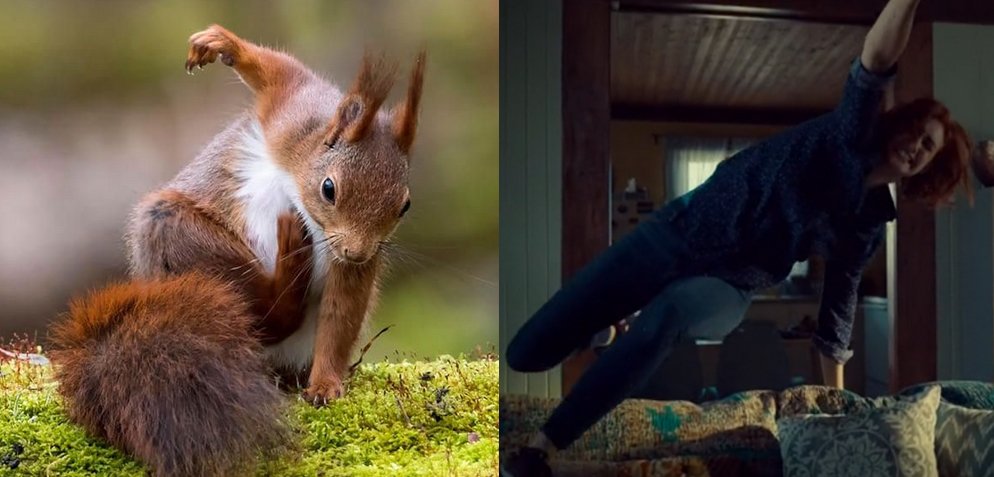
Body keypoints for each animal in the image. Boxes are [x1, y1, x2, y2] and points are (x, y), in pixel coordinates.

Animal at [48, 24, 425, 477]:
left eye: (405, 205)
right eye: (329, 188)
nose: (357, 252)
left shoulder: (349, 261)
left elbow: (341, 314)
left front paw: (325, 384)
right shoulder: (292, 112)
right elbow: (278, 71)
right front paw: (221, 44)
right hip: (175, 232)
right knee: (266, 313)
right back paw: (288, 266)